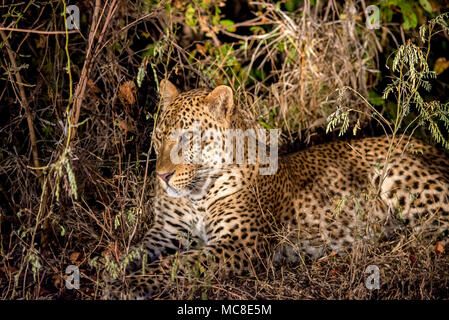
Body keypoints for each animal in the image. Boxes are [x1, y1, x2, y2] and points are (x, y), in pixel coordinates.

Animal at [101, 80, 448, 300]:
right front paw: (107, 273)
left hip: (398, 173)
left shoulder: (237, 246)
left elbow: (175, 265)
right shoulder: (164, 233)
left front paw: (127, 285)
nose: (162, 176)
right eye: (159, 136)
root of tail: (430, 146)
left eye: (188, 138)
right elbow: (133, 253)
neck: (198, 194)